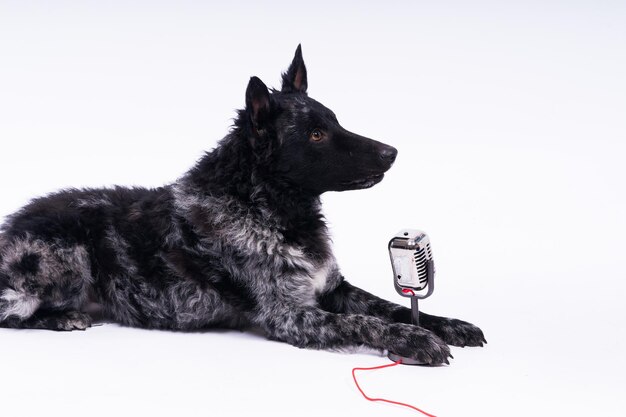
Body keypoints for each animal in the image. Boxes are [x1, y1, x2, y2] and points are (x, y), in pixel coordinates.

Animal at [0, 46, 482, 364]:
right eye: (316, 135)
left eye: (335, 120)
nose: (391, 153)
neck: (267, 210)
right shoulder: (290, 315)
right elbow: (370, 323)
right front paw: (415, 341)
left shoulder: (334, 290)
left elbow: (392, 305)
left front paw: (447, 324)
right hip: (69, 258)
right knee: (12, 311)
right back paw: (63, 318)